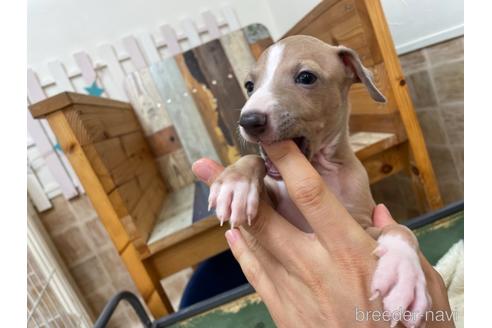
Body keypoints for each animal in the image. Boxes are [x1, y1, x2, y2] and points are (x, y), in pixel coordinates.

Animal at [209, 34, 430, 326]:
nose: (249, 120)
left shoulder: (361, 225)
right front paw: (235, 184)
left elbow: (400, 228)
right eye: (249, 85)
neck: (319, 171)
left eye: (306, 77)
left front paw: (402, 272)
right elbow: (255, 161)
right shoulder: (277, 202)